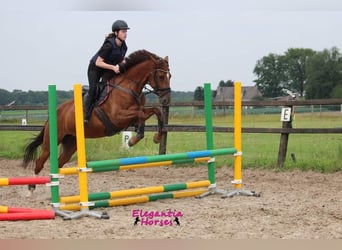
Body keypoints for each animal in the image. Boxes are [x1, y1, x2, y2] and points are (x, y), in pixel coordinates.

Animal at [23, 49, 172, 188]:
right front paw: (133, 140)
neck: (128, 87)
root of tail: (55, 112)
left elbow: (156, 111)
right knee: (40, 162)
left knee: (59, 163)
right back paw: (31, 187)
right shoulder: (118, 117)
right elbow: (141, 114)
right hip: (51, 141)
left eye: (170, 76)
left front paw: (156, 137)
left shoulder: (131, 117)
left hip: (71, 142)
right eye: (160, 76)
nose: (166, 100)